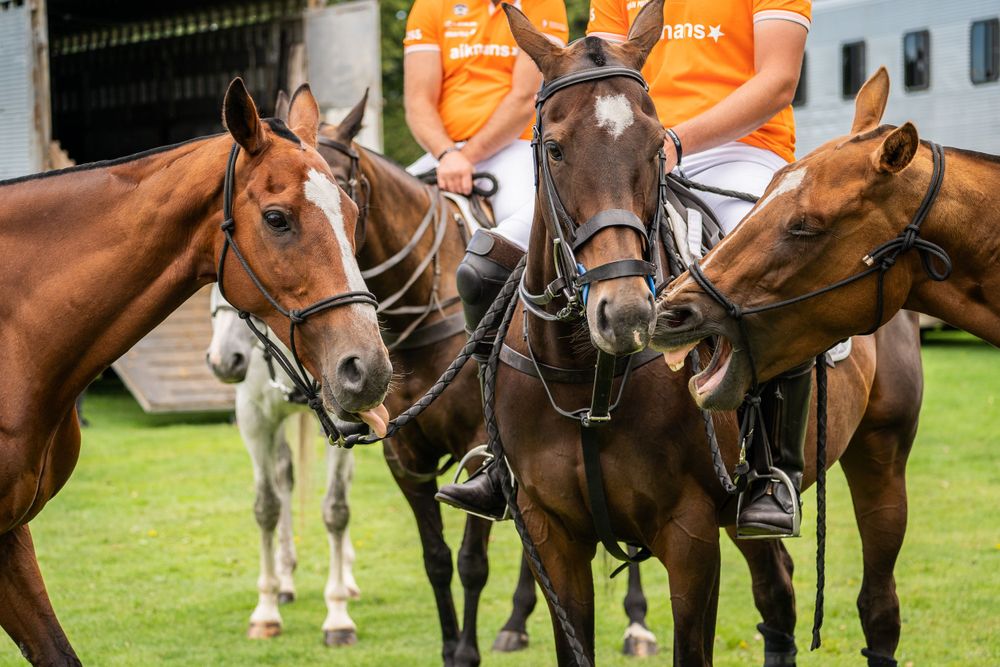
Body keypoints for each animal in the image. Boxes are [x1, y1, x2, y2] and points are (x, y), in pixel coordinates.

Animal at [205, 285, 361, 646]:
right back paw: (286, 580)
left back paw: (346, 578)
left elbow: (336, 510)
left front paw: (338, 617)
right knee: (284, 477)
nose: (224, 361)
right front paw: (266, 611)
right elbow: (267, 508)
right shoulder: (255, 421)